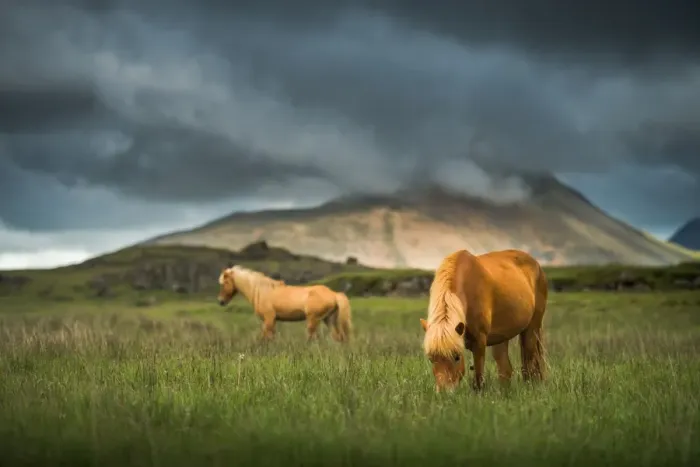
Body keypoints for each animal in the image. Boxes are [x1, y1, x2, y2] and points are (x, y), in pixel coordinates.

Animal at [217, 265, 352, 342]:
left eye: (225, 282)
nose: (220, 301)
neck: (262, 291)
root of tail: (334, 294)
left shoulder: (269, 319)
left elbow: (264, 339)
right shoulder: (272, 321)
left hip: (313, 320)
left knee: (313, 339)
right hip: (329, 320)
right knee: (338, 338)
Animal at [419, 248, 548, 393]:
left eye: (457, 357)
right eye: (431, 359)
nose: (444, 393)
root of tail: (536, 264)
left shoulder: (479, 340)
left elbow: (478, 377)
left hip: (532, 329)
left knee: (531, 363)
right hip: (502, 337)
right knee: (506, 369)